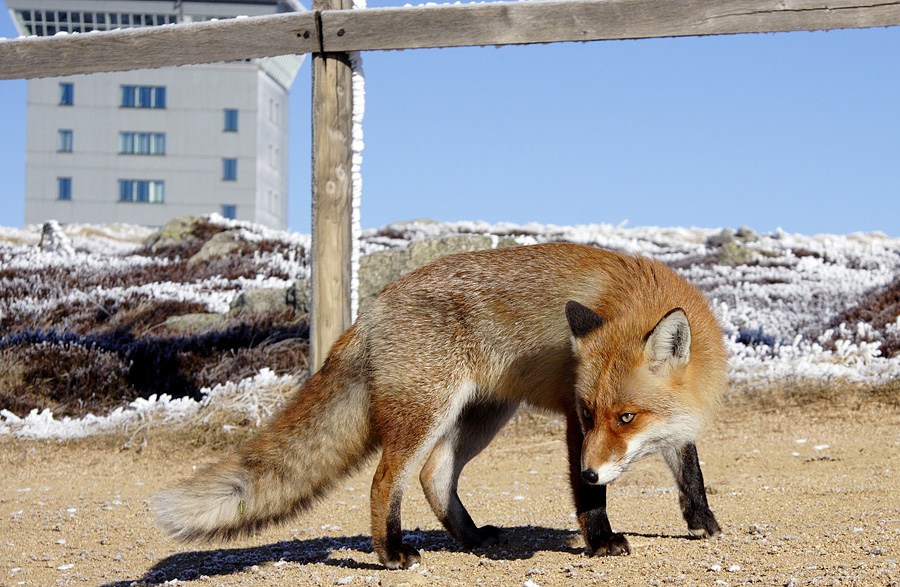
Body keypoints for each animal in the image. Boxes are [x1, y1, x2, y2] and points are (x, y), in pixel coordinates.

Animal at [158, 243, 728, 568]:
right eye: (590, 415)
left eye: (627, 418)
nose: (589, 471)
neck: (637, 297)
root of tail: (374, 306)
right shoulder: (572, 425)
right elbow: (592, 501)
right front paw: (602, 540)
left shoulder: (674, 424)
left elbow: (691, 471)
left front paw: (704, 522)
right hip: (427, 413)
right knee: (386, 480)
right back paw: (391, 553)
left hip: (480, 416)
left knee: (435, 474)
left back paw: (470, 536)